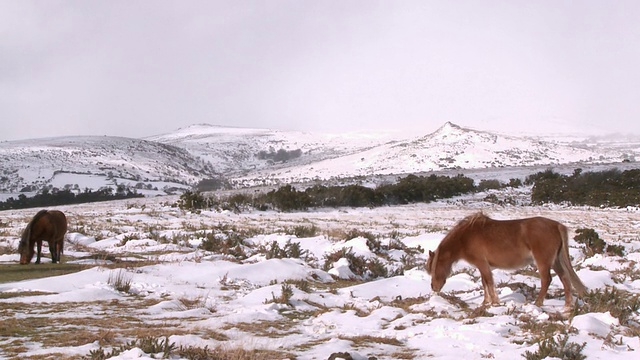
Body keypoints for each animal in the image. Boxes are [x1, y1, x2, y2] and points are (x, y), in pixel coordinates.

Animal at [428, 212, 588, 308]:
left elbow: (488, 283)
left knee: (546, 280)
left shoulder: (482, 264)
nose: (434, 287)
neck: (466, 237)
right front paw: (485, 302)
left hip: (543, 261)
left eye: (435, 267)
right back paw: (567, 305)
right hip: (555, 261)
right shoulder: (483, 266)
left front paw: (494, 302)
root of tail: (556, 225)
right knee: (565, 278)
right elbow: (484, 283)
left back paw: (537, 303)